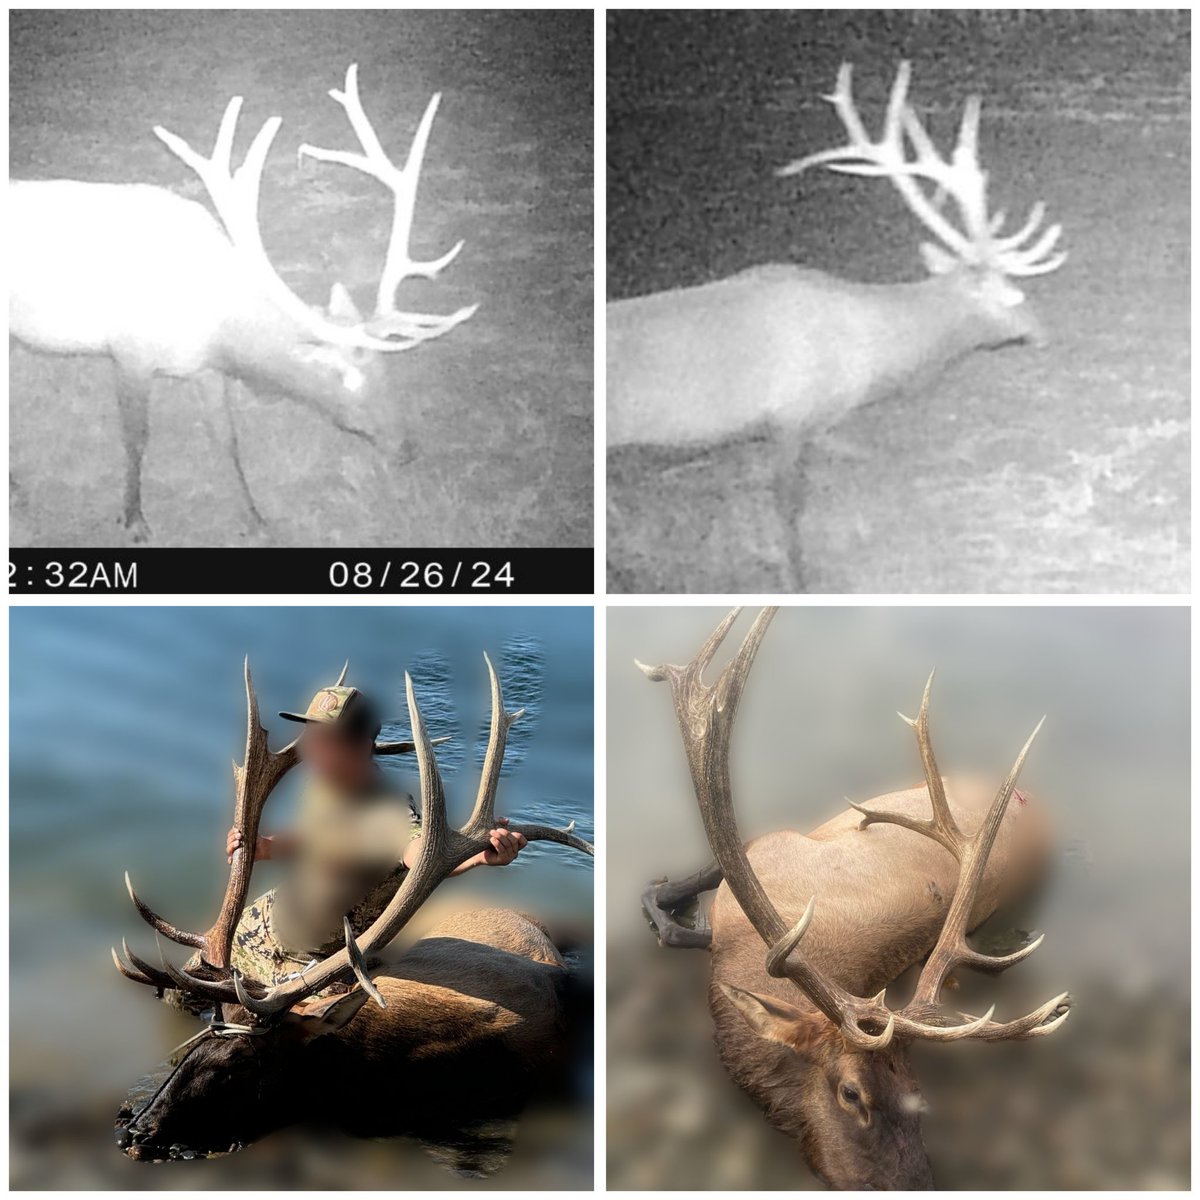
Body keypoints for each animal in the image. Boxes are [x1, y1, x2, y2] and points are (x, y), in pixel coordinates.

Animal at [10, 64, 477, 542]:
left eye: (387, 369)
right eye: (347, 378)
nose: (407, 448)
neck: (219, 331)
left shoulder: (205, 368)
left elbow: (226, 438)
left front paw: (255, 520)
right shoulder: (129, 352)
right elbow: (136, 437)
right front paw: (134, 519)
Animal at [607, 62, 1067, 589]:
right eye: (1012, 293)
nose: (1043, 332)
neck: (873, 359)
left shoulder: (818, 424)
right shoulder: (789, 415)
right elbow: (789, 507)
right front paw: (795, 579)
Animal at [638, 608, 1071, 1189]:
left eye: (917, 1095)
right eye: (851, 1093)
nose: (918, 1183)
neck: (740, 953)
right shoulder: (766, 846)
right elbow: (676, 897)